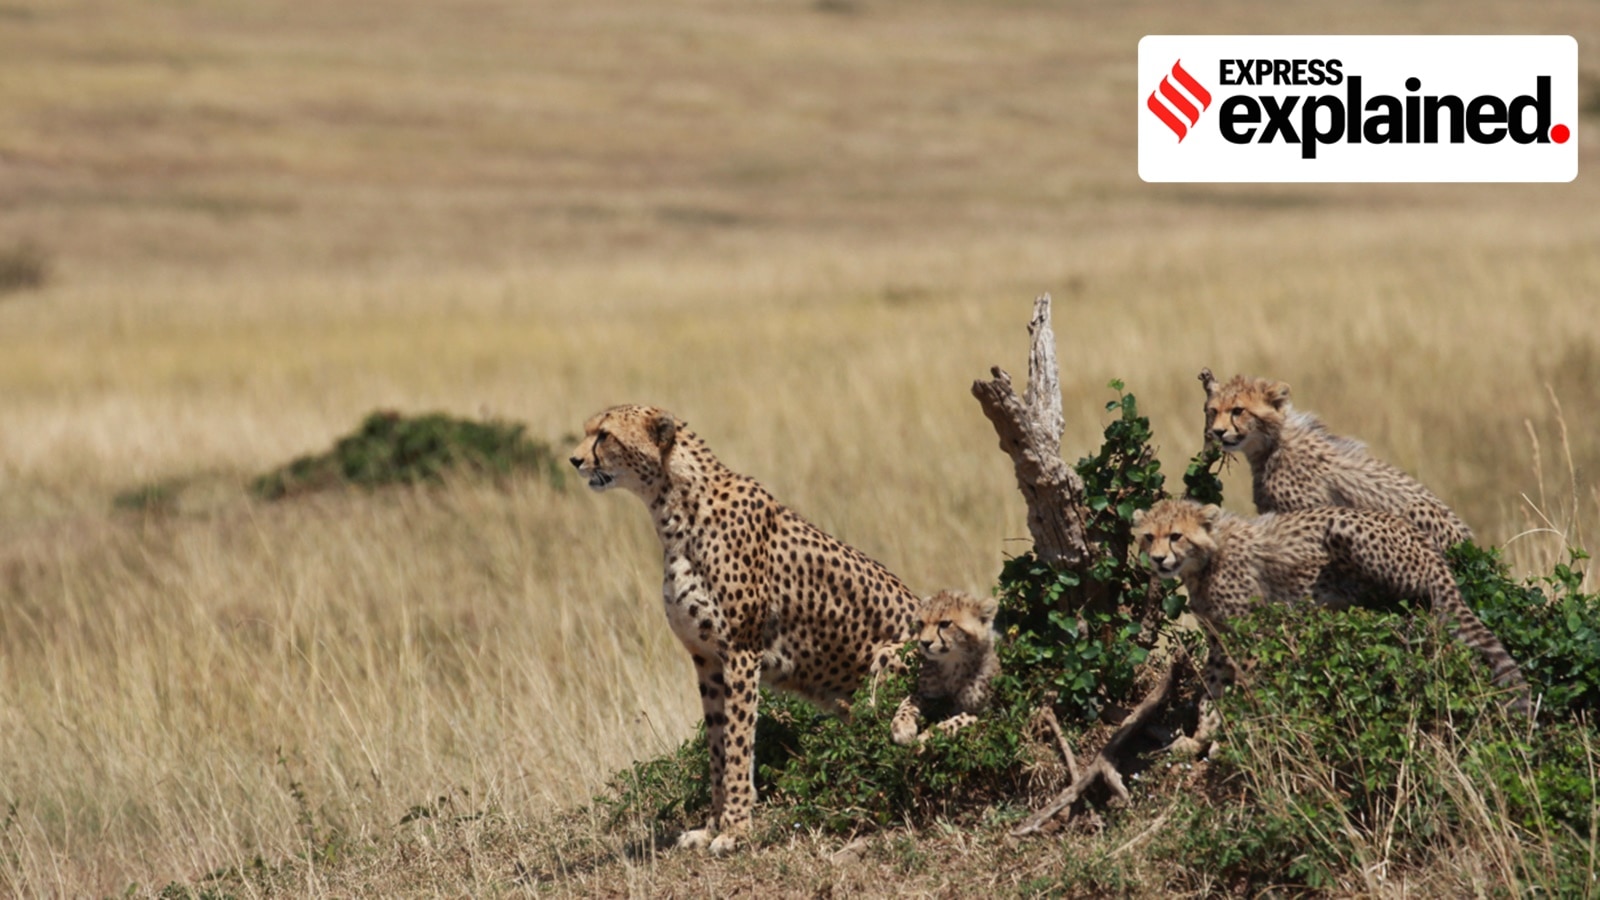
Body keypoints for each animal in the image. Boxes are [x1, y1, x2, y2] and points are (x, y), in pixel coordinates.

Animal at [569, 404, 919, 854]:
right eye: (588, 432)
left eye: (605, 435)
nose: (575, 459)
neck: (672, 507)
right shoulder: (706, 659)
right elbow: (717, 746)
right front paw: (711, 826)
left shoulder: (740, 651)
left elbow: (737, 744)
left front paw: (735, 830)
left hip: (891, 655)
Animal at [890, 590, 1001, 746]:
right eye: (921, 623)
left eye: (945, 624)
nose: (924, 643)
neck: (952, 663)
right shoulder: (930, 695)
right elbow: (910, 700)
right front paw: (901, 724)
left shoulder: (988, 712)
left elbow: (962, 719)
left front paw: (930, 736)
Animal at [1132, 497, 1531, 717]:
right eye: (1149, 536)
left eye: (1176, 536)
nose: (1158, 560)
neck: (1204, 561)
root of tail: (1430, 548)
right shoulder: (1219, 639)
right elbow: (1213, 686)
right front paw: (1203, 731)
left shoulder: (1253, 632)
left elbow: (1250, 685)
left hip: (1344, 526)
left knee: (1406, 603)